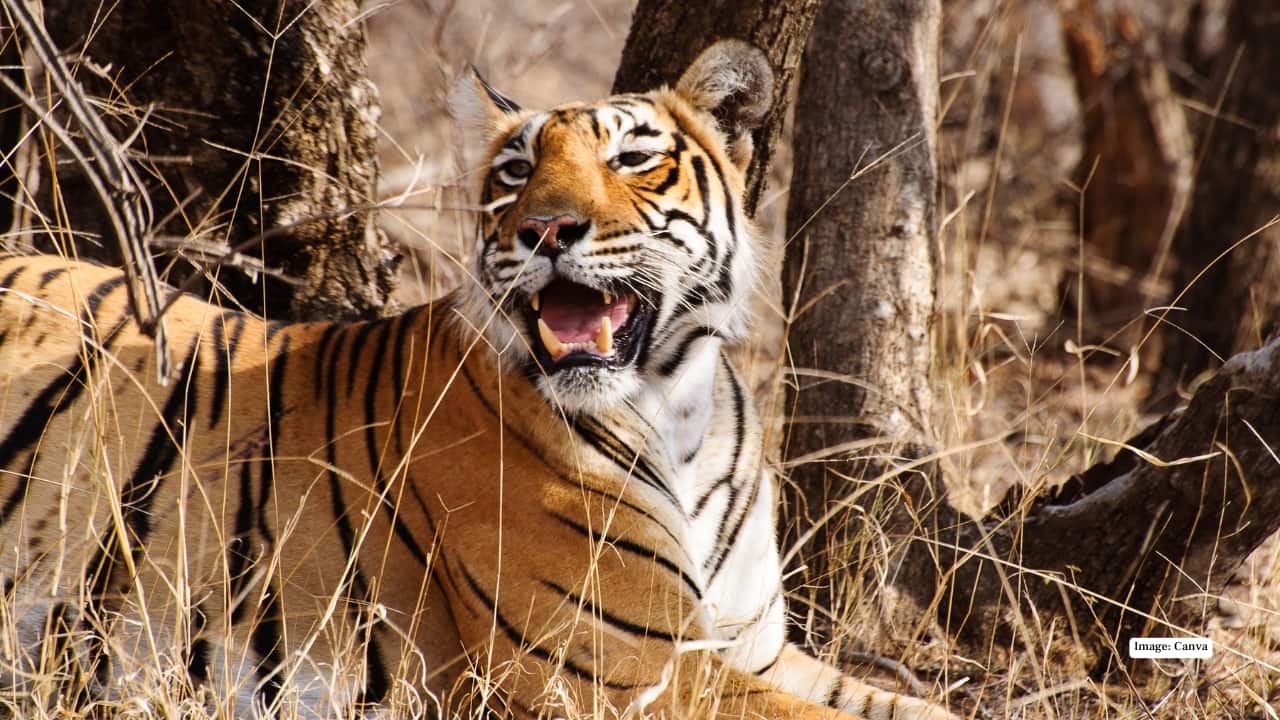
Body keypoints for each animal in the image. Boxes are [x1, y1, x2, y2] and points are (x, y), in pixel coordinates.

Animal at [0, 40, 956, 719]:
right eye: (515, 171)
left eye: (632, 160)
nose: (547, 229)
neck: (680, 408)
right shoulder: (633, 671)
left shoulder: (753, 647)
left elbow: (917, 707)